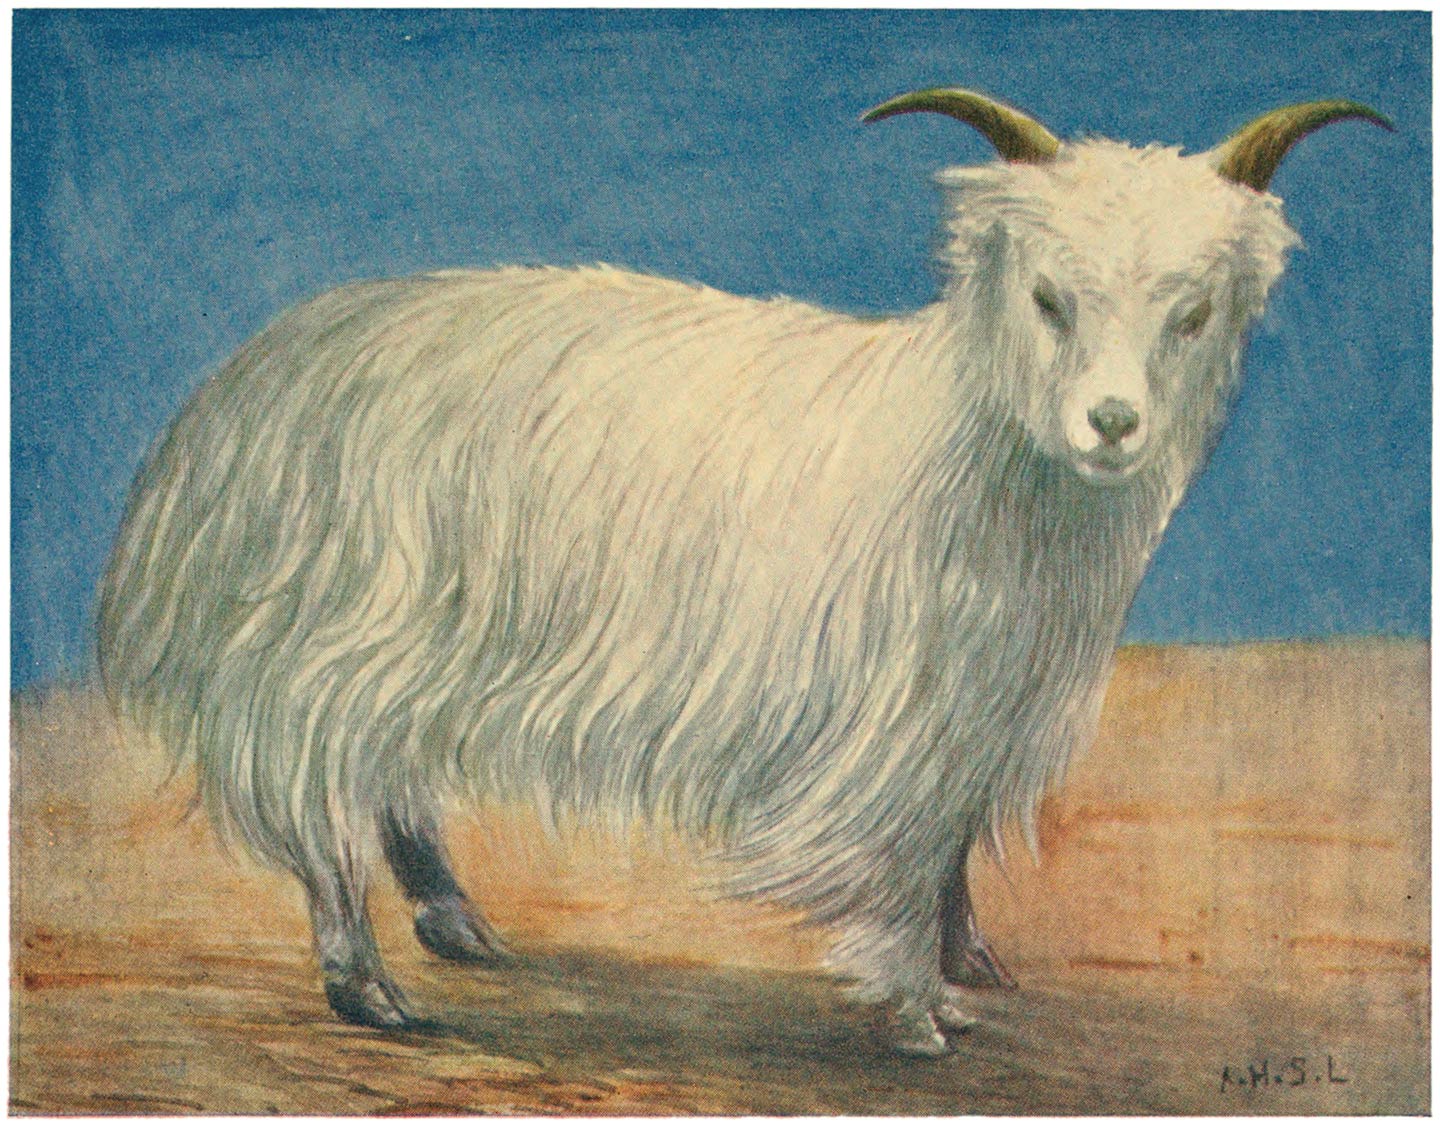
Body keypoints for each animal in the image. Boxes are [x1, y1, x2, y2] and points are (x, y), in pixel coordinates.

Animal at [97, 89, 1390, 1055]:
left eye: (1193, 312)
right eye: (1048, 296)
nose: (1113, 423)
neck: (969, 435)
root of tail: (242, 394)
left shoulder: (981, 700)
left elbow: (953, 839)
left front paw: (967, 966)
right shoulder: (901, 709)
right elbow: (907, 849)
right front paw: (916, 1005)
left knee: (391, 777)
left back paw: (456, 921)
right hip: (334, 635)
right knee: (320, 791)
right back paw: (367, 985)